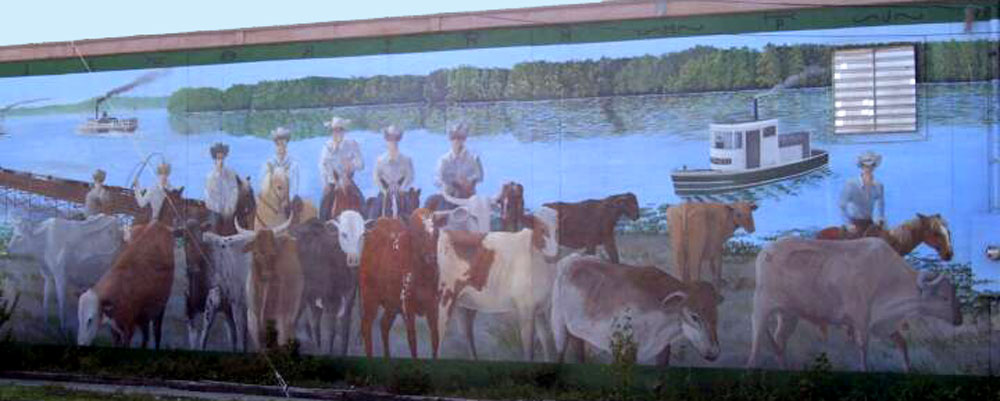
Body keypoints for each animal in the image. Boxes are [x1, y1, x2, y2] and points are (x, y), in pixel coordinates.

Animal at [77, 220, 207, 348]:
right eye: (79, 318)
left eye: (90, 320)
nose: (81, 344)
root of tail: (156, 224)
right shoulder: (116, 328)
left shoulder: (128, 328)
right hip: (144, 315)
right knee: (146, 336)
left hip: (159, 306)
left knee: (156, 332)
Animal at [438, 206, 564, 360]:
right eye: (541, 229)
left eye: (557, 229)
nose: (554, 255)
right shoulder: (525, 309)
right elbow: (528, 348)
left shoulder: (540, 308)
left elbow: (545, 340)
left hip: (465, 303)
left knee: (466, 332)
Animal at [552, 255, 724, 364]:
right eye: (694, 316)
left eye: (716, 315)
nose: (714, 352)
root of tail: (570, 259)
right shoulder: (622, 350)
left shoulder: (663, 348)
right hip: (559, 325)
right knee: (559, 354)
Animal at [752, 236, 960, 370]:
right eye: (944, 297)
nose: (959, 318)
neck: (888, 277)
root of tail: (766, 251)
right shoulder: (860, 321)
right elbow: (863, 347)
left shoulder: (883, 324)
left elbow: (902, 343)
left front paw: (908, 369)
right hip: (763, 306)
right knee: (758, 335)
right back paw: (751, 364)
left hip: (788, 315)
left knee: (780, 339)